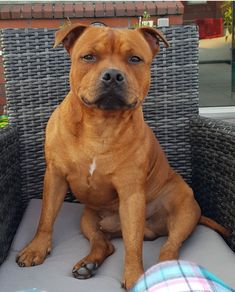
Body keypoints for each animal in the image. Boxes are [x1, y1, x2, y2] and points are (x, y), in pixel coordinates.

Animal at [15, 23, 229, 290]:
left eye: (134, 59)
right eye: (88, 56)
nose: (113, 75)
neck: (100, 124)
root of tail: (153, 231)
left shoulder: (131, 193)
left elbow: (133, 244)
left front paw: (135, 276)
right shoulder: (55, 176)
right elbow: (45, 217)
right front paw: (36, 249)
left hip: (185, 211)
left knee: (169, 247)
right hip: (88, 219)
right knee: (103, 243)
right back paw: (88, 264)